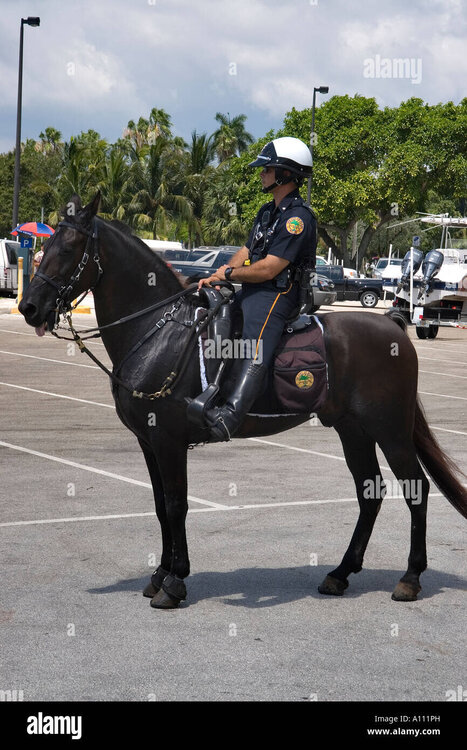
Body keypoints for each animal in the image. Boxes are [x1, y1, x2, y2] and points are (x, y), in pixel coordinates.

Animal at [19, 193, 467, 609]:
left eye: (68, 248)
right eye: (45, 243)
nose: (29, 307)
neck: (158, 331)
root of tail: (393, 326)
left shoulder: (168, 442)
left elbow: (176, 505)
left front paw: (175, 581)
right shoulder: (148, 442)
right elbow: (160, 506)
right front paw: (159, 574)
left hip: (390, 431)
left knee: (416, 489)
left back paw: (410, 578)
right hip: (352, 430)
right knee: (368, 491)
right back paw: (340, 573)